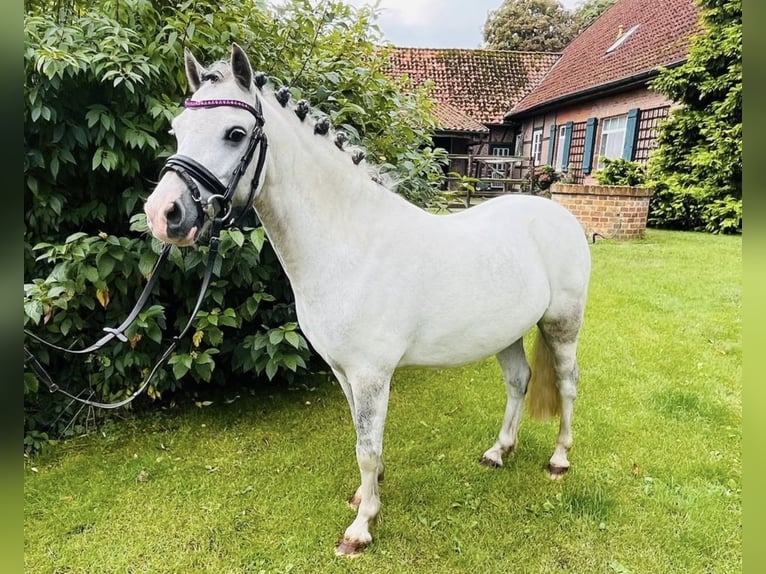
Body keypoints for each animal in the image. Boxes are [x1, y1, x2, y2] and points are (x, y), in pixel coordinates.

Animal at [144, 44, 591, 556]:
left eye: (235, 133)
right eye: (178, 129)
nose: (162, 214)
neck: (350, 242)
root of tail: (558, 213)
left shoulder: (371, 374)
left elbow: (367, 446)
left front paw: (361, 528)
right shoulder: (344, 372)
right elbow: (362, 440)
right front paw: (367, 495)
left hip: (563, 325)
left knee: (568, 383)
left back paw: (559, 459)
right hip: (507, 333)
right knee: (520, 382)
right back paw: (498, 452)